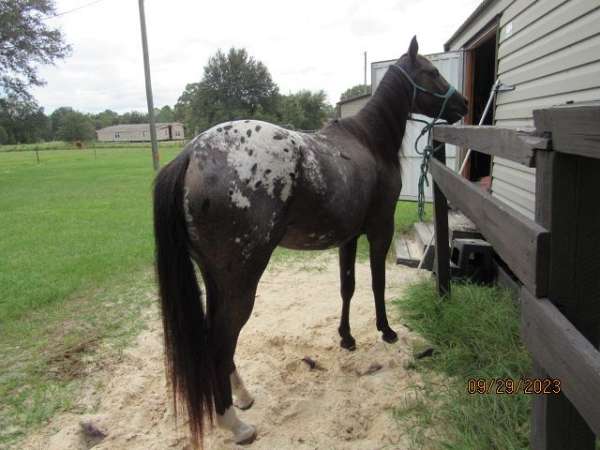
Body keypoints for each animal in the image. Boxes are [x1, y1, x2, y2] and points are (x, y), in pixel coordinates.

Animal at [154, 36, 468, 446]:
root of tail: (191, 153)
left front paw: (347, 338)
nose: (463, 104)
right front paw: (386, 331)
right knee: (219, 343)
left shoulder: (348, 238)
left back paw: (244, 396)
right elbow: (377, 283)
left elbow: (347, 287)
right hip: (241, 281)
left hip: (216, 278)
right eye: (431, 72)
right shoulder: (379, 231)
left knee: (216, 339)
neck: (368, 142)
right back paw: (235, 425)